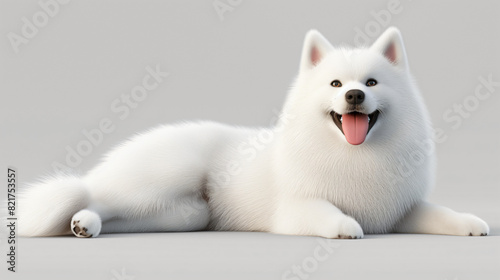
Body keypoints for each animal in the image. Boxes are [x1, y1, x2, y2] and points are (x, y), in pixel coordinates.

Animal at [18, 26, 488, 238]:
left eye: (371, 82)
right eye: (336, 84)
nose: (354, 94)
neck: (354, 155)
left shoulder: (400, 209)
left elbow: (437, 212)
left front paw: (469, 222)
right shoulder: (297, 208)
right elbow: (326, 211)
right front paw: (345, 225)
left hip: (184, 214)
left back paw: (87, 225)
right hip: (159, 182)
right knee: (94, 194)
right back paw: (82, 220)